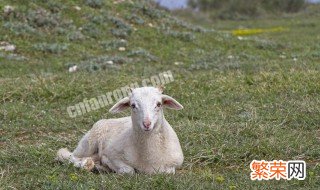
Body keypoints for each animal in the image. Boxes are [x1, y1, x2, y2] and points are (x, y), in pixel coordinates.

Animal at [56, 87, 184, 174]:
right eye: (133, 105)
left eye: (159, 104)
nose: (147, 124)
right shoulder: (112, 154)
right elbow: (128, 170)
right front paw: (108, 165)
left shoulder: (175, 164)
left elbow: (167, 171)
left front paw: (103, 166)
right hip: (88, 143)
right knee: (68, 156)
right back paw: (86, 164)